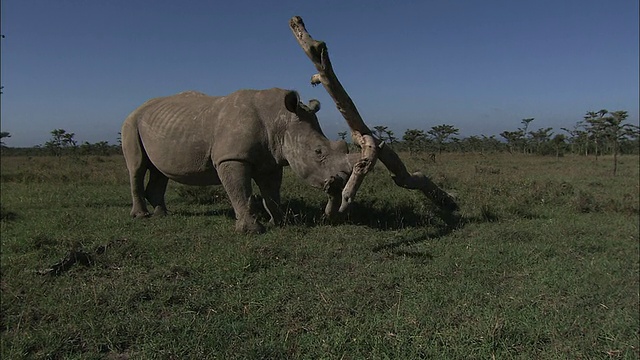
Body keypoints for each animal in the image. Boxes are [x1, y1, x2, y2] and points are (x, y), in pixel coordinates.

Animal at [122, 88, 358, 232]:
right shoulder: (231, 157)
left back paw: (162, 215)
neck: (279, 119)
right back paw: (141, 216)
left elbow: (272, 193)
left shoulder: (271, 160)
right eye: (318, 152)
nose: (339, 181)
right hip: (131, 123)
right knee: (137, 167)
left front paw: (280, 222)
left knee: (159, 171)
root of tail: (136, 109)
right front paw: (252, 230)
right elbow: (240, 191)